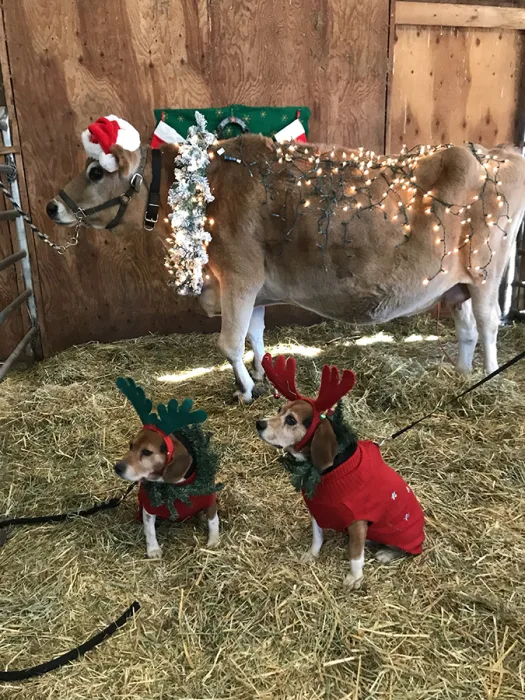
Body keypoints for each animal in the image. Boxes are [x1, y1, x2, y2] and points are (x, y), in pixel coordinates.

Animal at [46, 132, 525, 403]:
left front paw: (247, 390)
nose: (52, 207)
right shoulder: (253, 288)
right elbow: (255, 336)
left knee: (488, 324)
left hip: (485, 270)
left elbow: (229, 343)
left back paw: (488, 380)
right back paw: (462, 375)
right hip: (455, 283)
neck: (200, 187)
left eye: (95, 171)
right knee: (467, 328)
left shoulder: (238, 275)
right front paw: (261, 373)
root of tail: (494, 152)